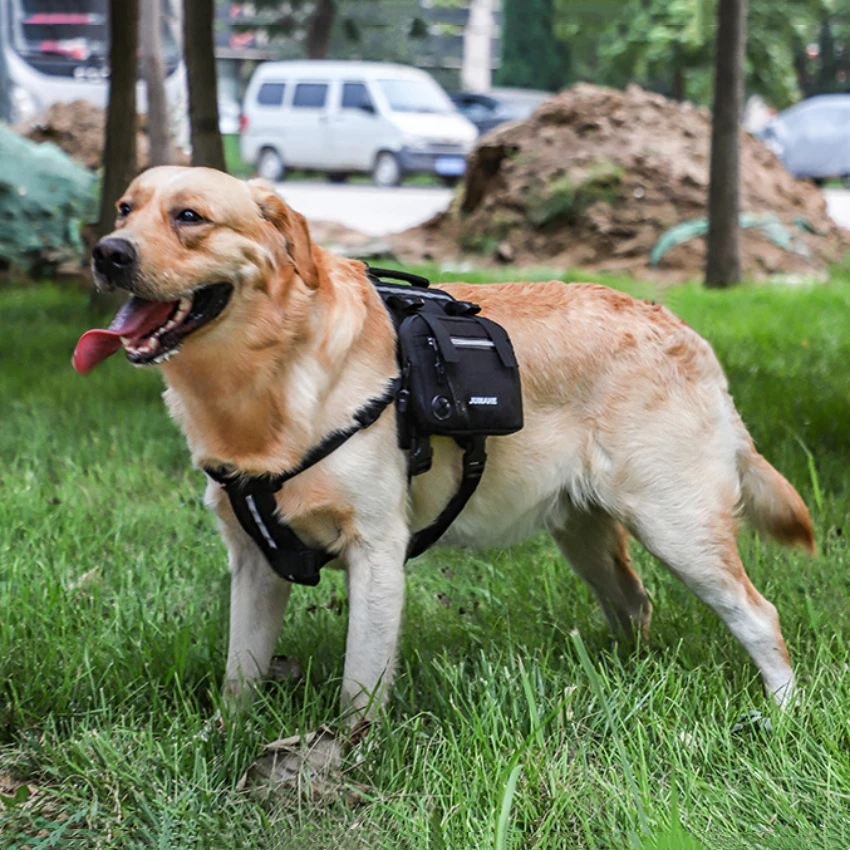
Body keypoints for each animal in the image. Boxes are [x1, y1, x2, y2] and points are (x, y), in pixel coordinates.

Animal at [76, 166, 812, 748]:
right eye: (125, 208)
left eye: (190, 216)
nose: (106, 252)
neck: (269, 379)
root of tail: (684, 329)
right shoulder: (256, 561)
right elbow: (239, 676)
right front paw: (222, 742)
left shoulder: (377, 554)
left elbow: (359, 686)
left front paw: (344, 759)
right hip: (585, 532)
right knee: (635, 603)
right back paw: (624, 682)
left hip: (677, 527)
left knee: (760, 616)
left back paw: (781, 716)